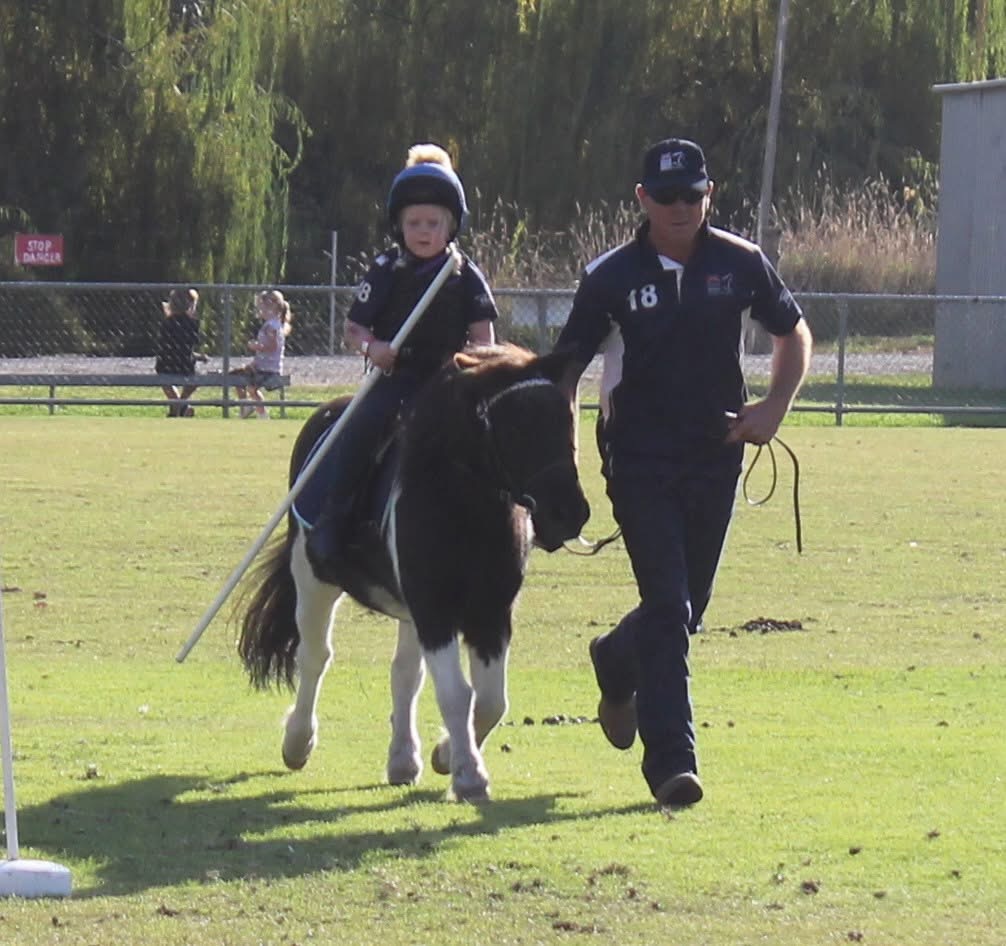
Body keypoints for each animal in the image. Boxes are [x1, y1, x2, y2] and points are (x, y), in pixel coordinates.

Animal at [237, 344, 590, 802]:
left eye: (566, 417)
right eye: (515, 425)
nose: (570, 513)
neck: (463, 504)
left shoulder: (491, 613)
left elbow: (491, 700)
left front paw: (447, 754)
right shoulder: (434, 608)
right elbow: (457, 694)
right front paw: (469, 774)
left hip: (407, 612)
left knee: (405, 674)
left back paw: (403, 759)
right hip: (312, 578)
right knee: (315, 657)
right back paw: (298, 742)